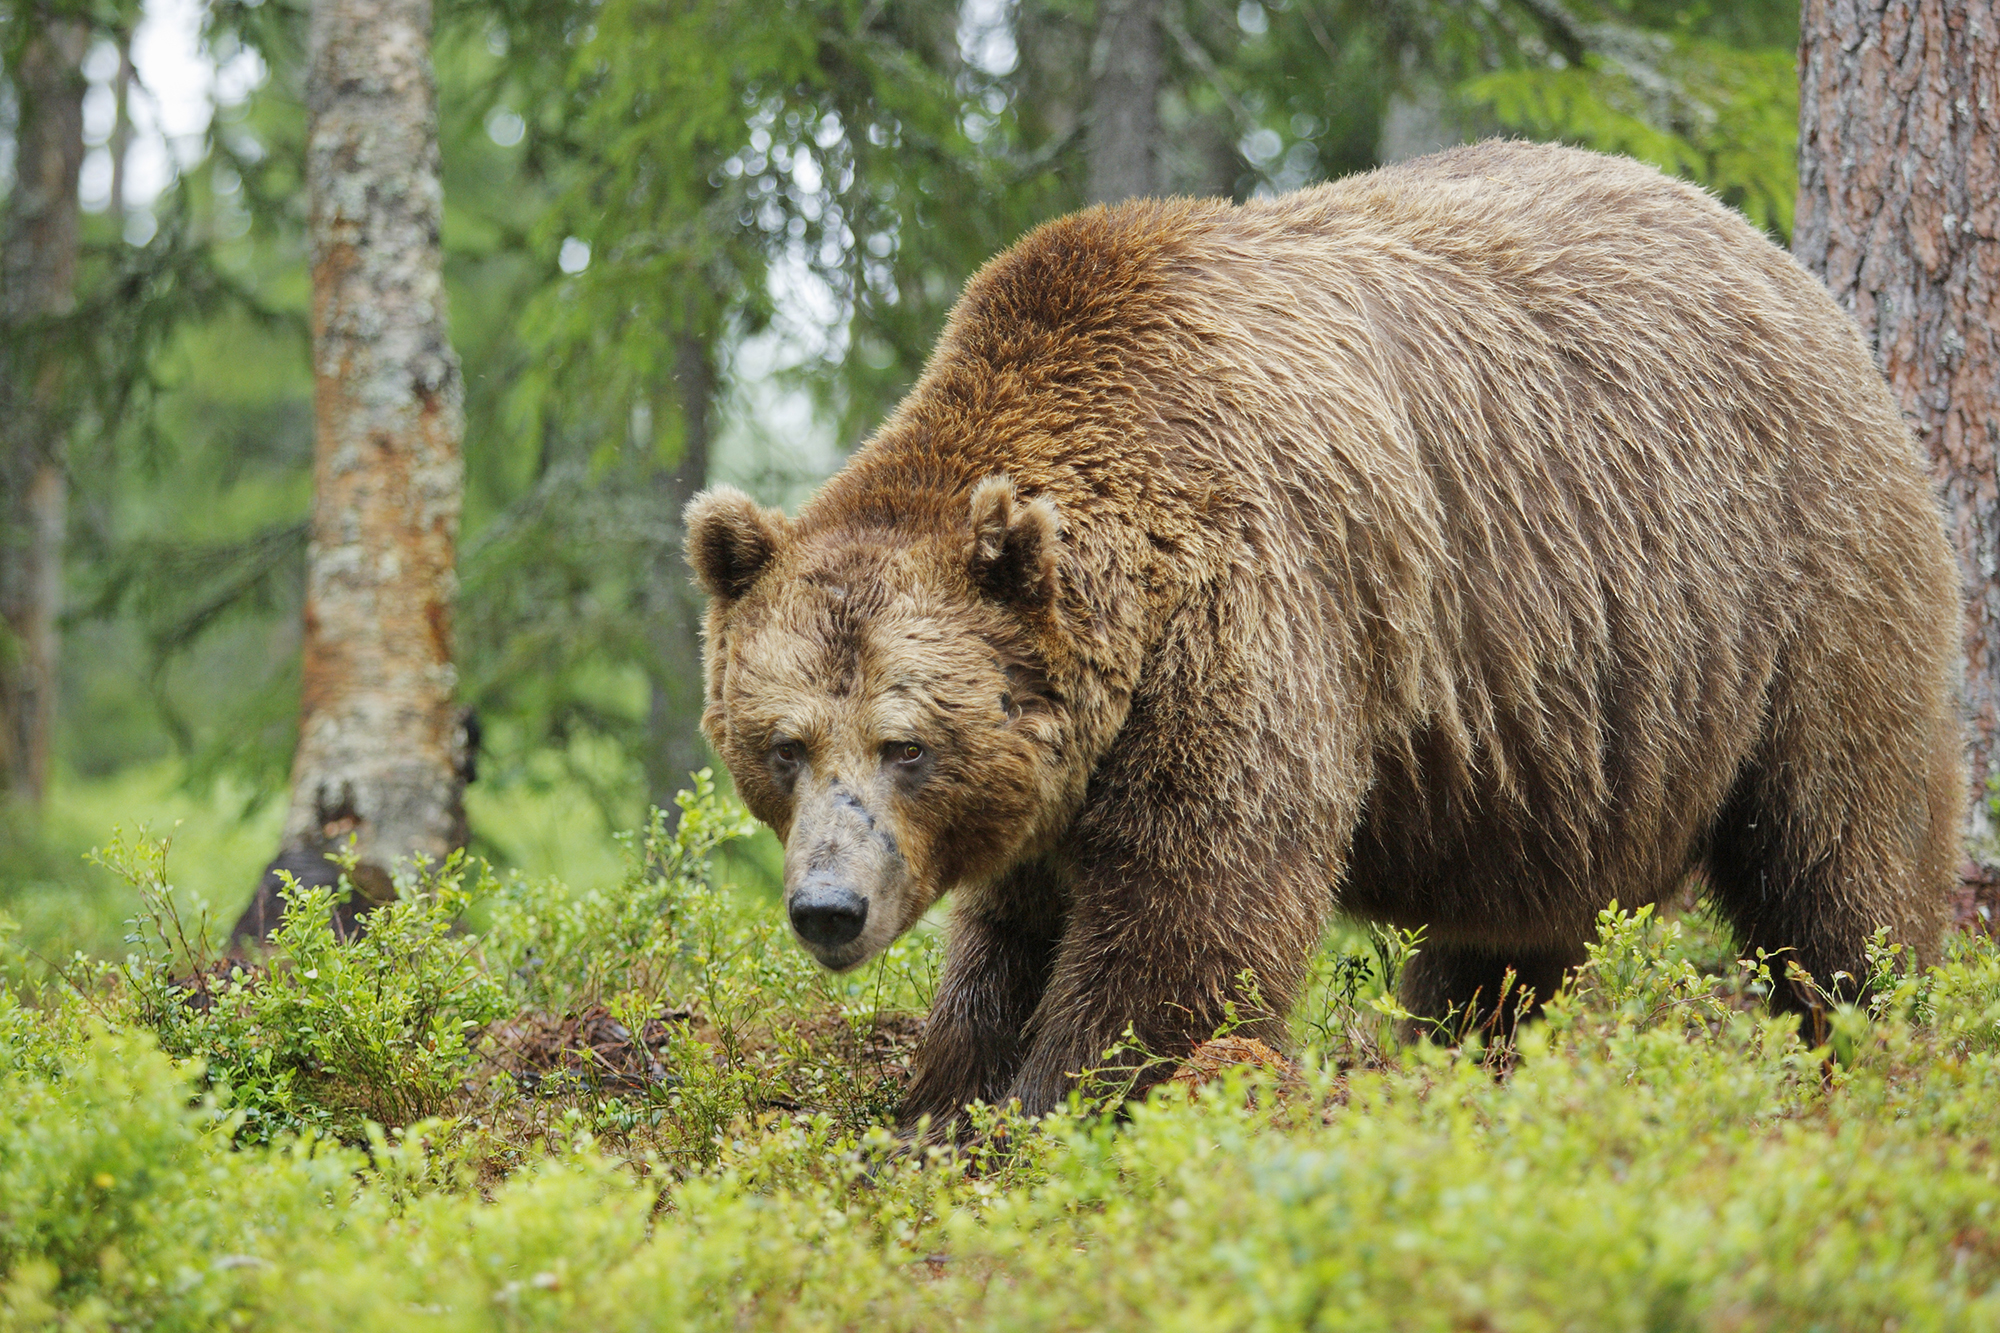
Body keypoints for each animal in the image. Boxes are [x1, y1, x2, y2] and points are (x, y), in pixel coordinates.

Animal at [680, 140, 1960, 1128]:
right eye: (786, 744)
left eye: (905, 744)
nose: (827, 908)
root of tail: (1786, 264)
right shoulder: (1072, 739)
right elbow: (1013, 925)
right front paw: (939, 1100)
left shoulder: (1246, 611)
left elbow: (1191, 910)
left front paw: (1054, 1107)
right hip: (1567, 737)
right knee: (1512, 932)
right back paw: (1446, 1055)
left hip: (1802, 592)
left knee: (1842, 857)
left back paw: (1877, 1042)